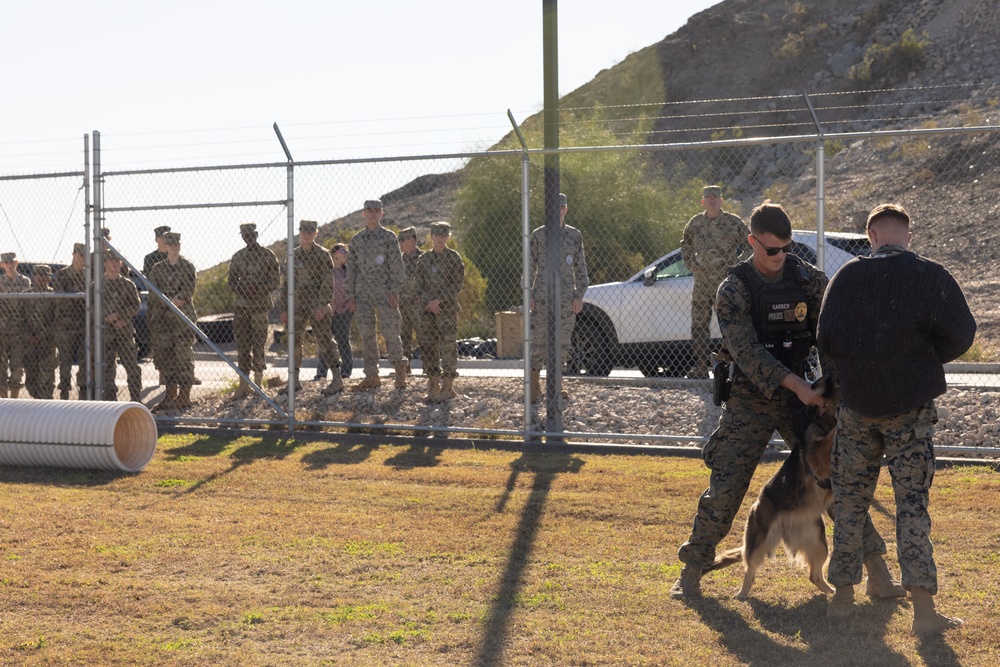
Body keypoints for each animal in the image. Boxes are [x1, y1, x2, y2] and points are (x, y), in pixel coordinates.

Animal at [704, 376, 844, 600]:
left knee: (814, 575)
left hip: (819, 543)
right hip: (759, 541)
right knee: (749, 570)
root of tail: (788, 527)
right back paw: (742, 593)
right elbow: (832, 433)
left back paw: (831, 592)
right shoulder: (818, 453)